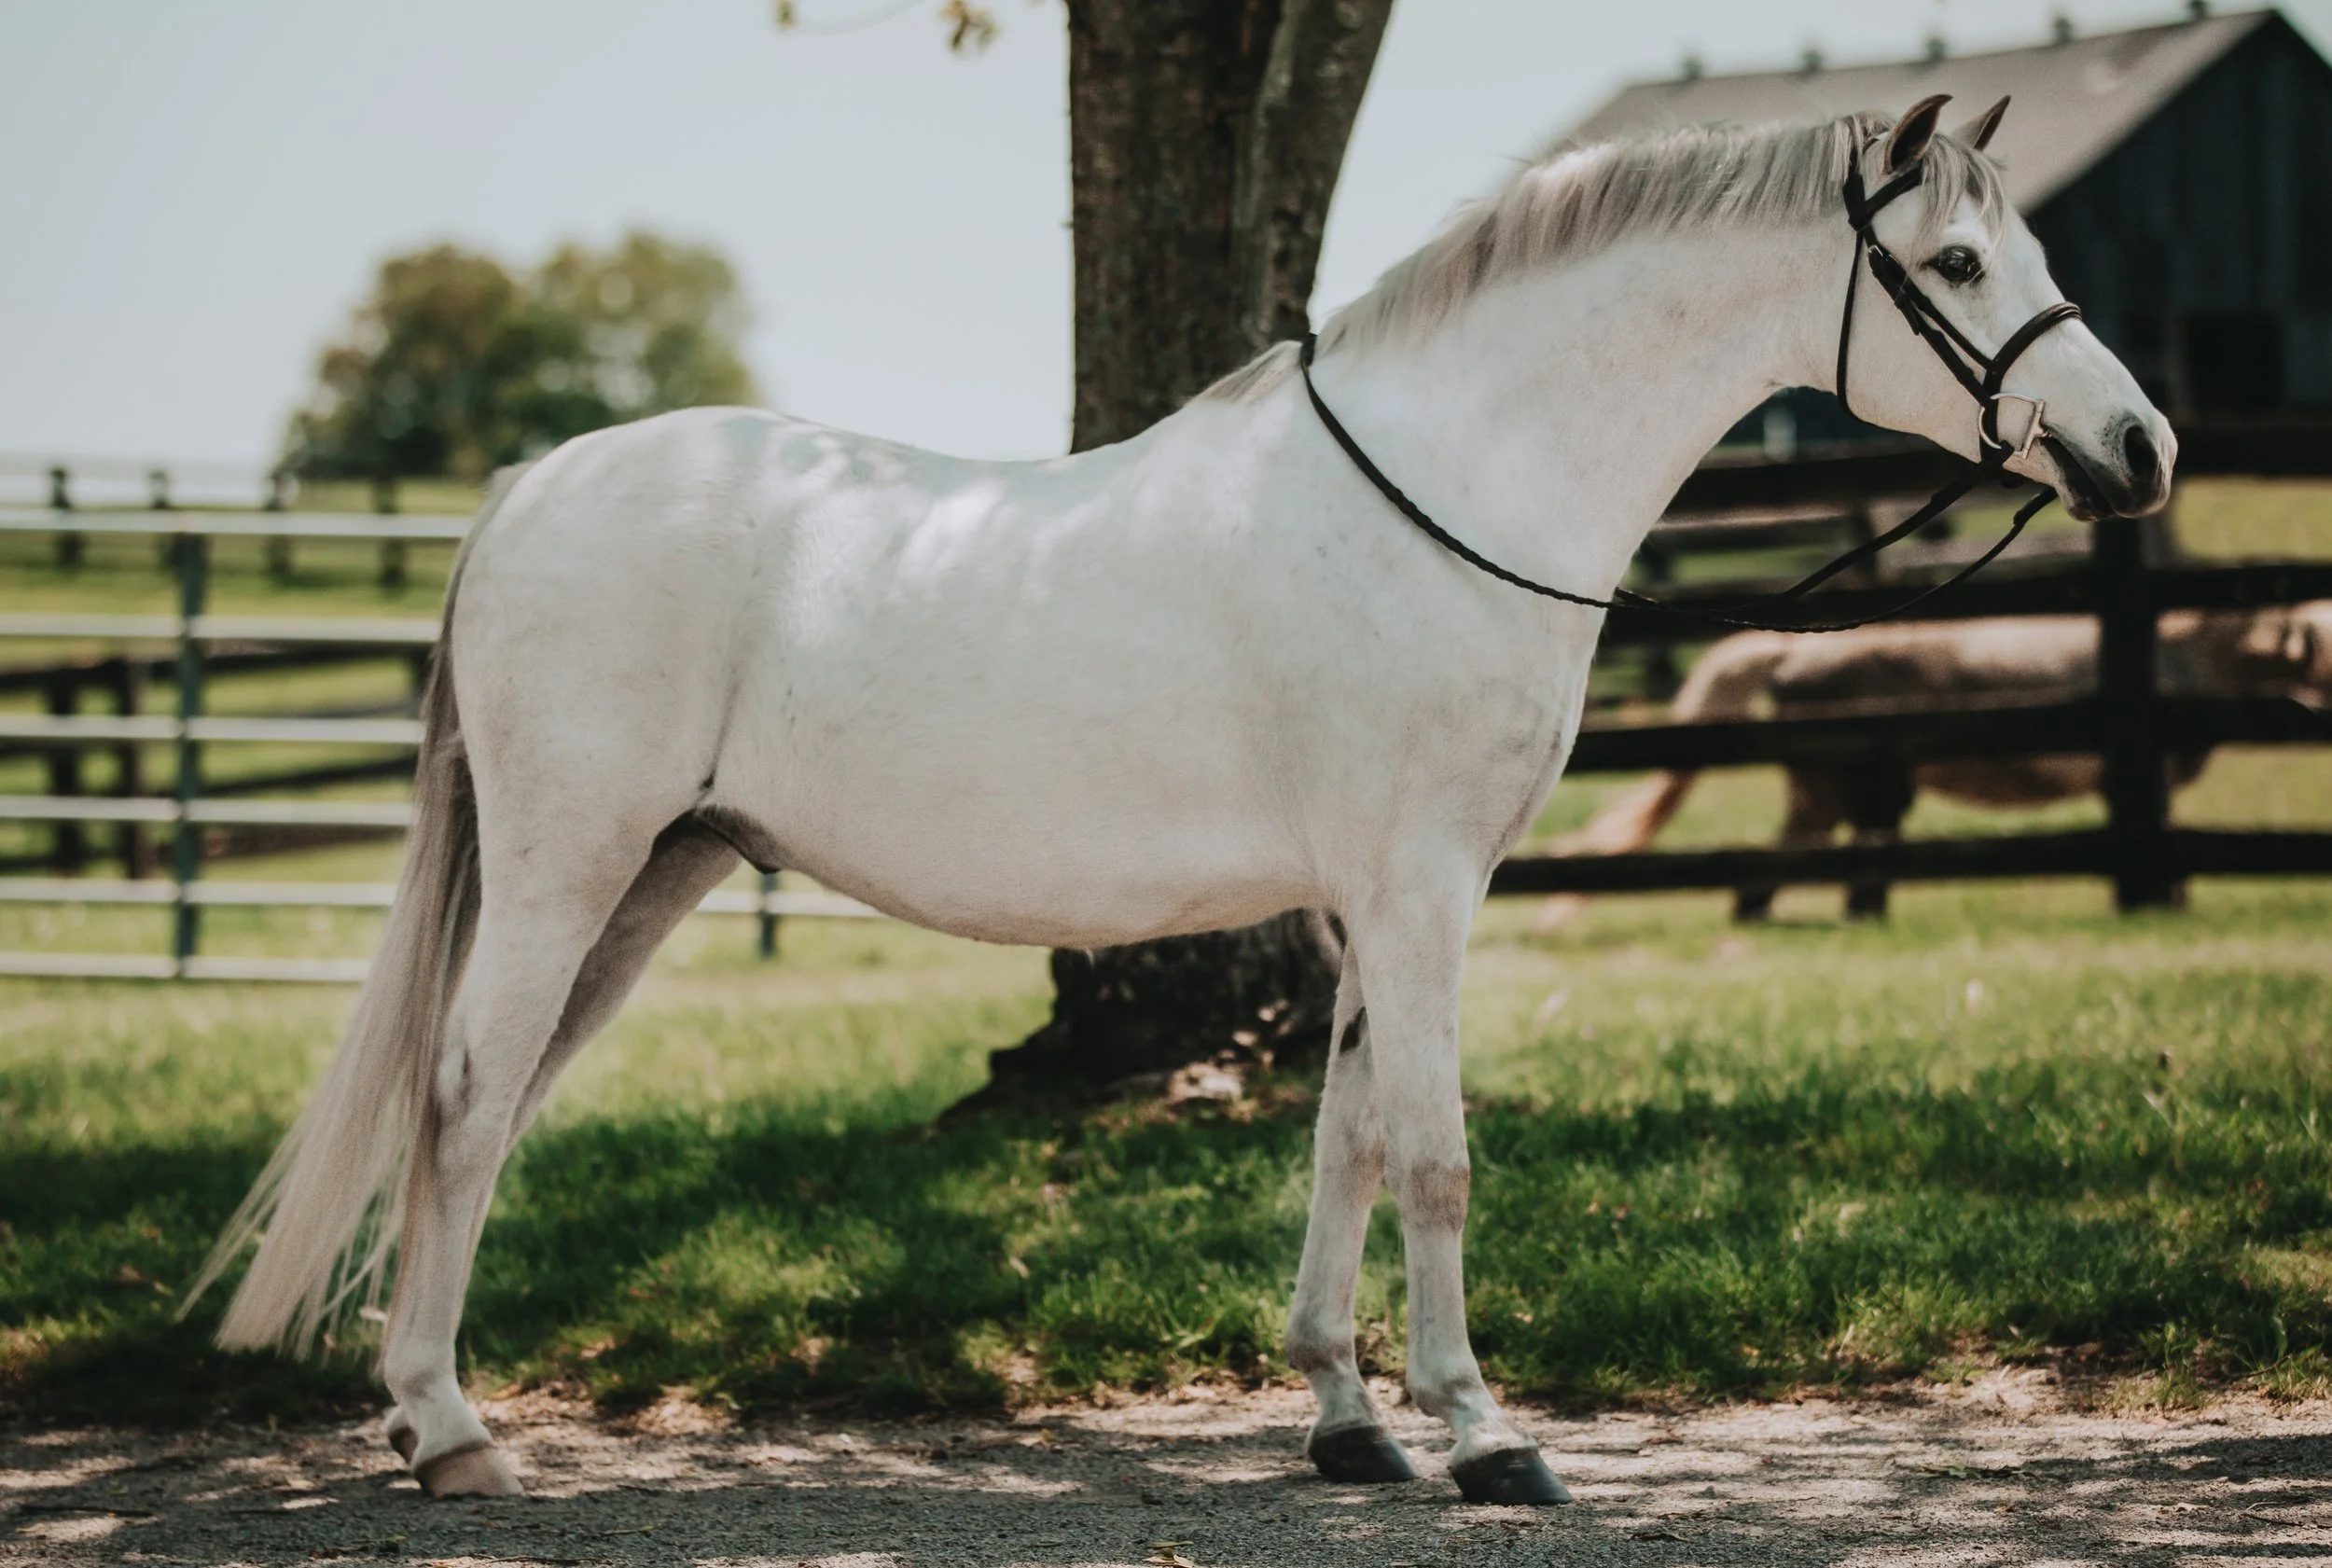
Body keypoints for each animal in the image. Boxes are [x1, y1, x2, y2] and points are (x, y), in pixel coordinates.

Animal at [185, 95, 2171, 1504]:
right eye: (1960, 265)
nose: (2139, 449)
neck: (1452, 487)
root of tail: (526, 489)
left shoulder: (1372, 899)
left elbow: (1348, 1137)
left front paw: (1352, 1418)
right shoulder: (1427, 884)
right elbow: (1436, 1156)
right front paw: (1488, 1434)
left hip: (658, 870)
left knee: (495, 1102)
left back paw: (426, 1413)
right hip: (570, 865)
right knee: (464, 1092)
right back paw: (450, 1431)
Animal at [1537, 600, 2330, 923]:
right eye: (2318, 643)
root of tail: (1787, 655)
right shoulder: (2148, 775)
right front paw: (2173, 900)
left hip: (1834, 786)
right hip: (1846, 783)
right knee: (1820, 854)